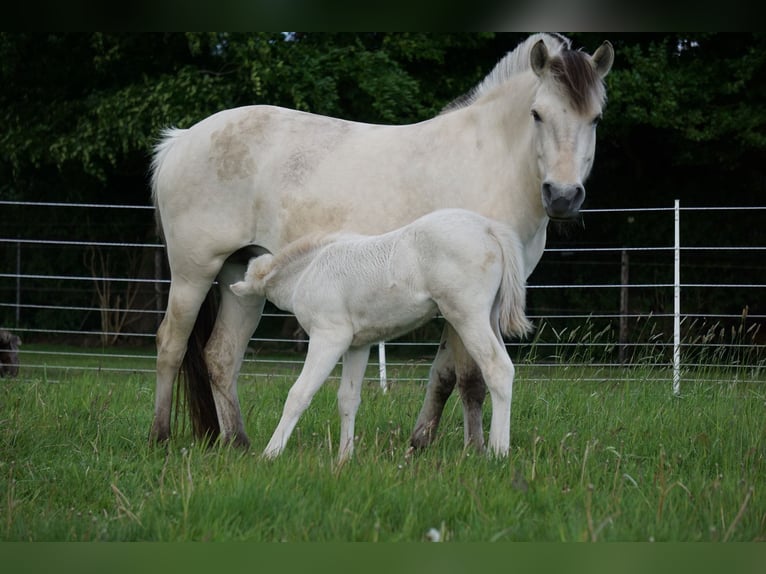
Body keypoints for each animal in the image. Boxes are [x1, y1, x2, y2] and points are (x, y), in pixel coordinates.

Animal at [229, 208, 532, 461]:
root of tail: (488, 227)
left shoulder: (329, 337)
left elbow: (299, 393)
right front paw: (344, 458)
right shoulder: (357, 345)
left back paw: (498, 451)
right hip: (489, 316)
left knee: (498, 368)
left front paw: (271, 453)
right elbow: (348, 398)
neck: (308, 271)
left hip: (467, 315)